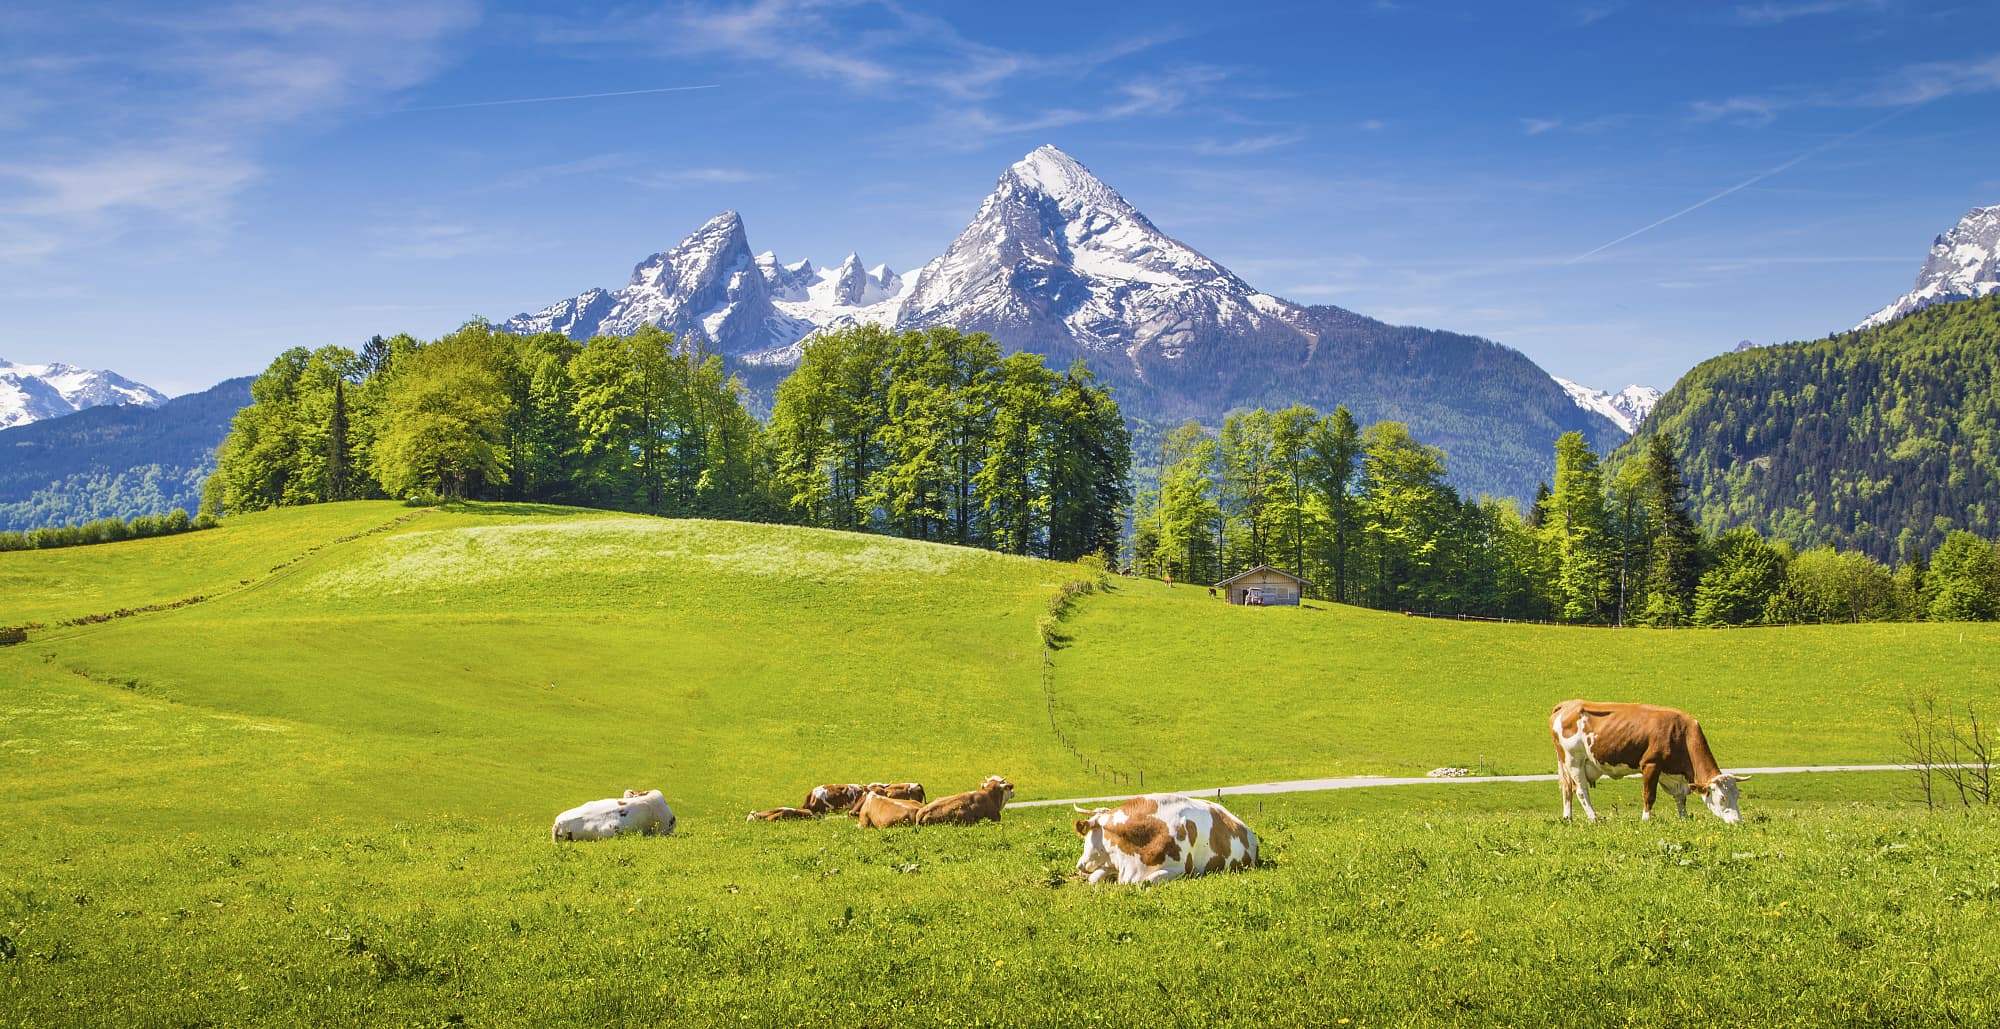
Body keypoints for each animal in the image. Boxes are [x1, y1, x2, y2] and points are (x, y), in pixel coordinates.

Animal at [1544, 692, 1752, 820]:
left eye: (1737, 795)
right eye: (1722, 798)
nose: (1737, 821)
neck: (1680, 733)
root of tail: (1568, 704)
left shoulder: (1673, 773)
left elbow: (1680, 797)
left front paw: (1684, 818)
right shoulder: (1651, 764)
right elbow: (1649, 795)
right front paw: (1646, 819)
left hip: (1565, 762)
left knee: (1567, 789)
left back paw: (1568, 818)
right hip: (1574, 760)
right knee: (1580, 790)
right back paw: (1594, 818)